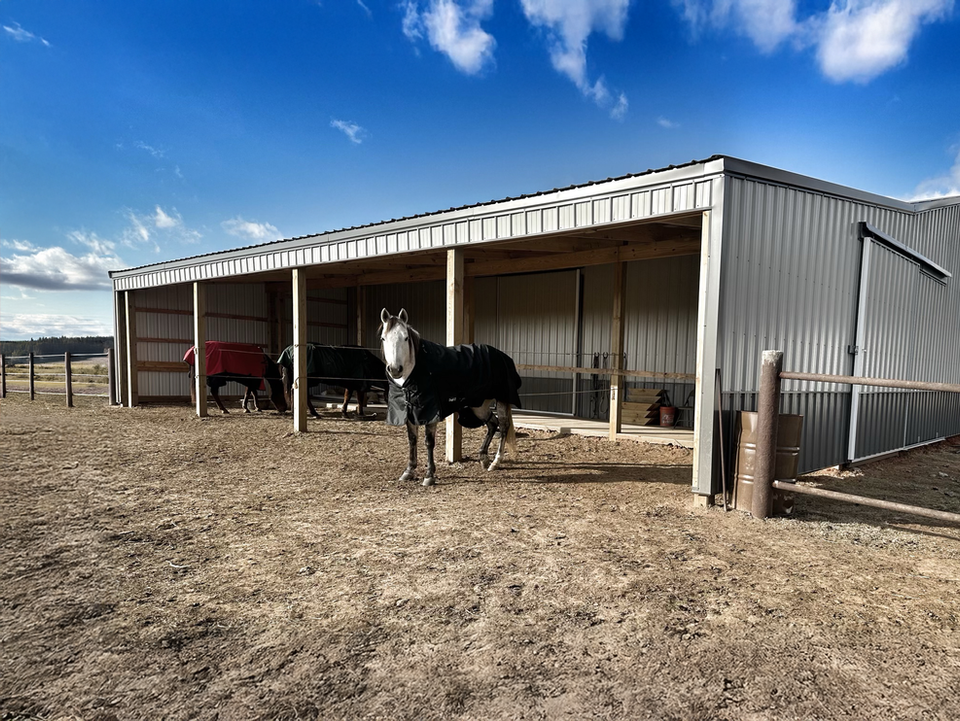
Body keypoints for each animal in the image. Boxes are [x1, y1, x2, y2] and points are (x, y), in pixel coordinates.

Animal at [379, 308, 522, 486]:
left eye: (405, 337)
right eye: (383, 338)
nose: (395, 369)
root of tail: (502, 355)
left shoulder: (430, 414)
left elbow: (429, 442)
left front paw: (429, 475)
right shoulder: (410, 412)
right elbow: (412, 439)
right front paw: (409, 470)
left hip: (501, 399)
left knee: (503, 427)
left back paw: (496, 461)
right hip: (478, 406)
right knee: (492, 424)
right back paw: (483, 458)